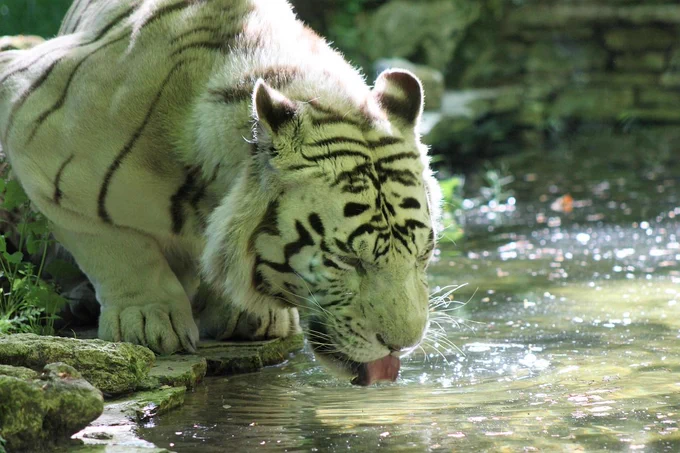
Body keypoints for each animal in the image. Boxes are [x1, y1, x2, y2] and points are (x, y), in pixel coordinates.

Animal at [0, 0, 441, 384]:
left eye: (424, 253)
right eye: (347, 259)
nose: (403, 345)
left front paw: (248, 314)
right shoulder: (31, 123)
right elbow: (116, 245)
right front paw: (147, 319)